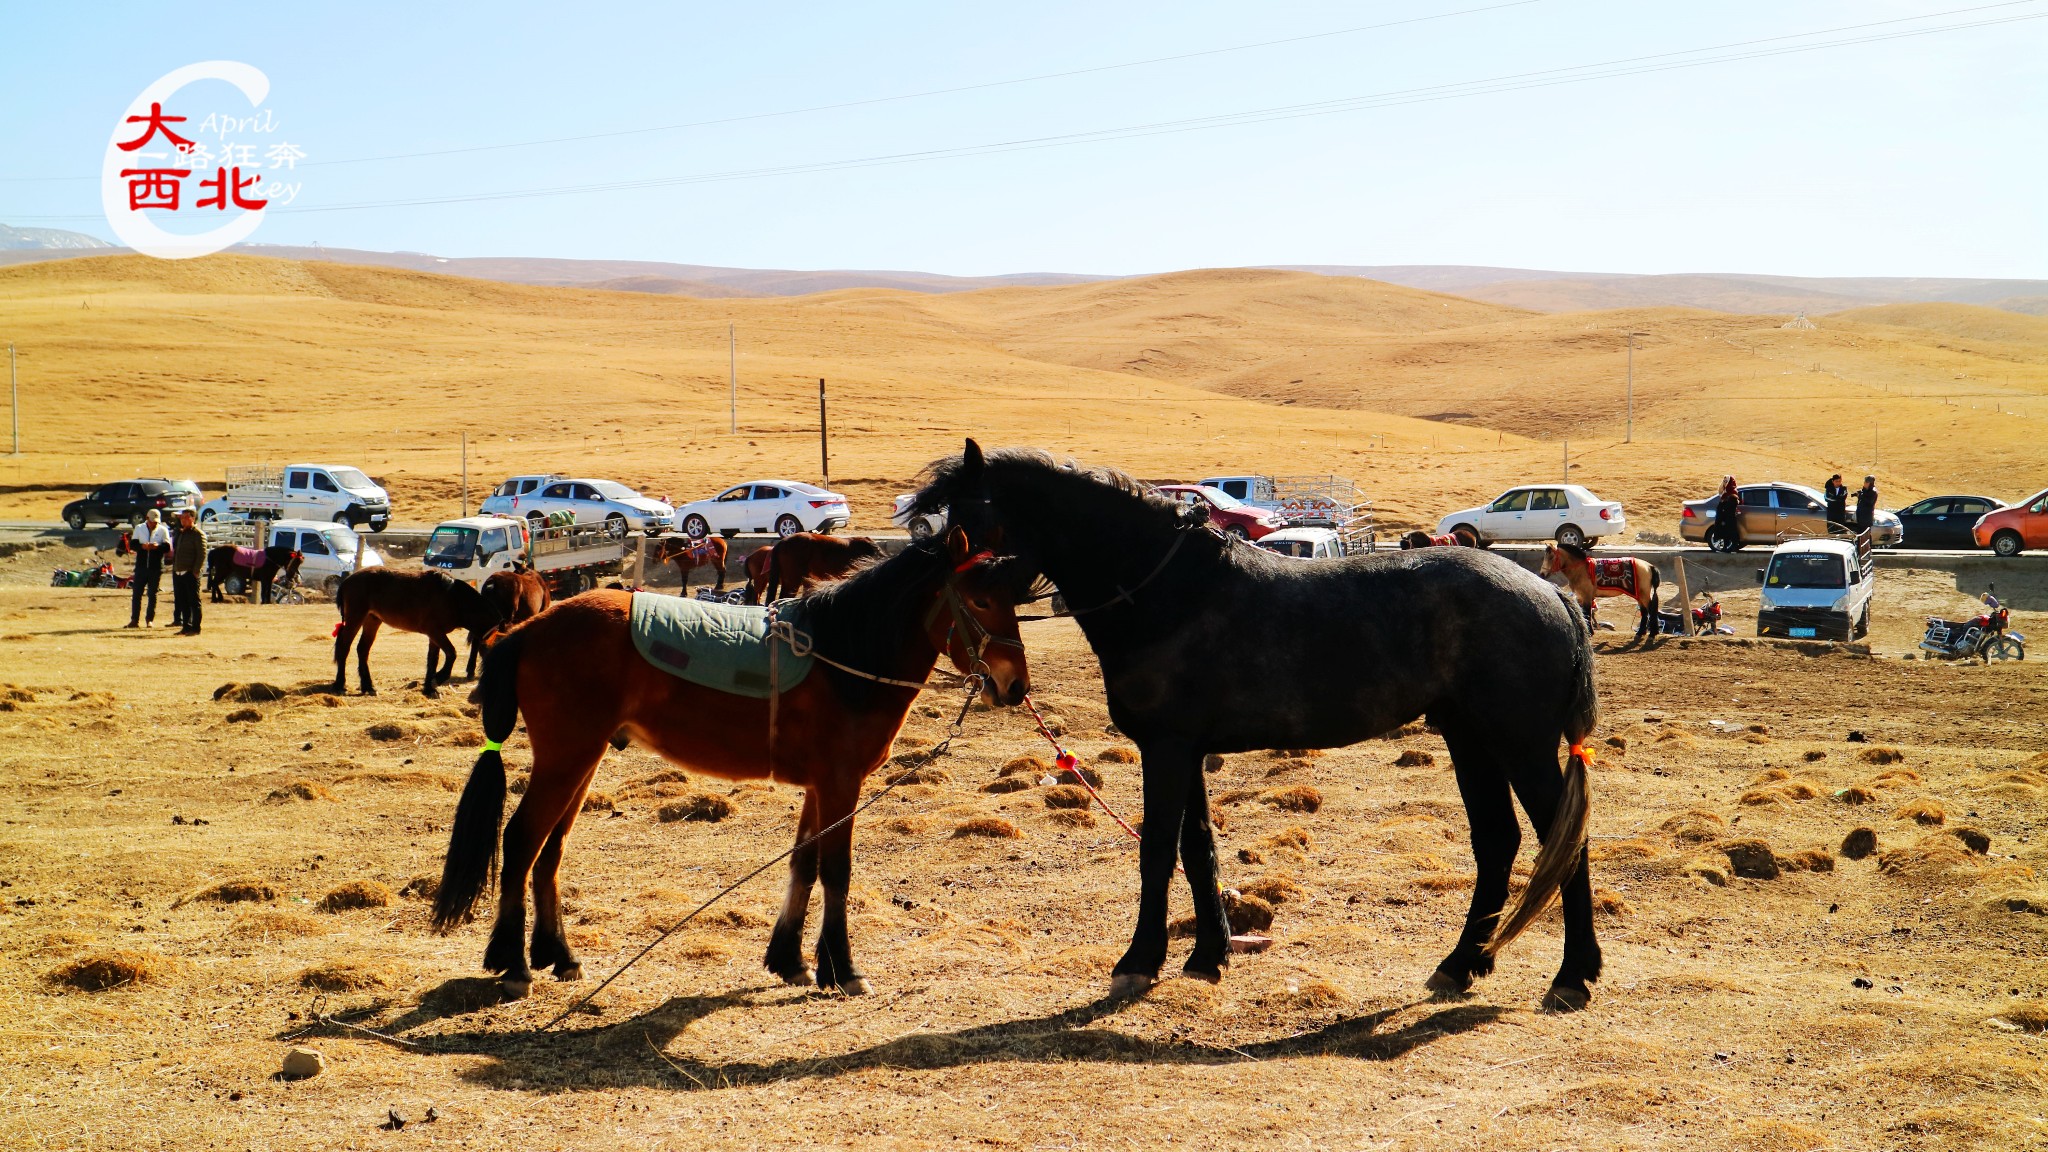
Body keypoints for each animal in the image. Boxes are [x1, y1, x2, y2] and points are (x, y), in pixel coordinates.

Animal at [331, 565, 503, 696]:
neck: (453, 598)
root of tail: (347, 580)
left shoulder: (435, 635)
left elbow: (433, 659)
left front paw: (429, 688)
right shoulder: (435, 632)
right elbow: (451, 653)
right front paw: (438, 678)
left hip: (372, 620)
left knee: (362, 649)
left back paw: (368, 686)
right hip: (355, 618)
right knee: (344, 647)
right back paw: (340, 684)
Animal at [438, 524, 1032, 992]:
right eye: (980, 601)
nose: (1015, 686)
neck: (842, 656)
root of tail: (527, 630)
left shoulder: (819, 786)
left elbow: (804, 863)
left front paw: (790, 959)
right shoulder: (841, 783)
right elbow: (836, 871)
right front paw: (841, 969)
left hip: (582, 761)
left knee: (550, 850)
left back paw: (558, 955)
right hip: (566, 759)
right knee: (522, 841)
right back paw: (514, 964)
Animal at [921, 438, 1605, 1004]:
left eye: (970, 524)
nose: (991, 670)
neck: (1169, 592)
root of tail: (1552, 594)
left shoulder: (1166, 748)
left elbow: (1157, 849)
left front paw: (1139, 963)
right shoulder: (1185, 750)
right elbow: (1198, 846)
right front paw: (1208, 956)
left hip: (1521, 746)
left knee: (1562, 842)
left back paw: (1573, 974)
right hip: (1471, 740)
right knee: (1497, 842)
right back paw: (1462, 964)